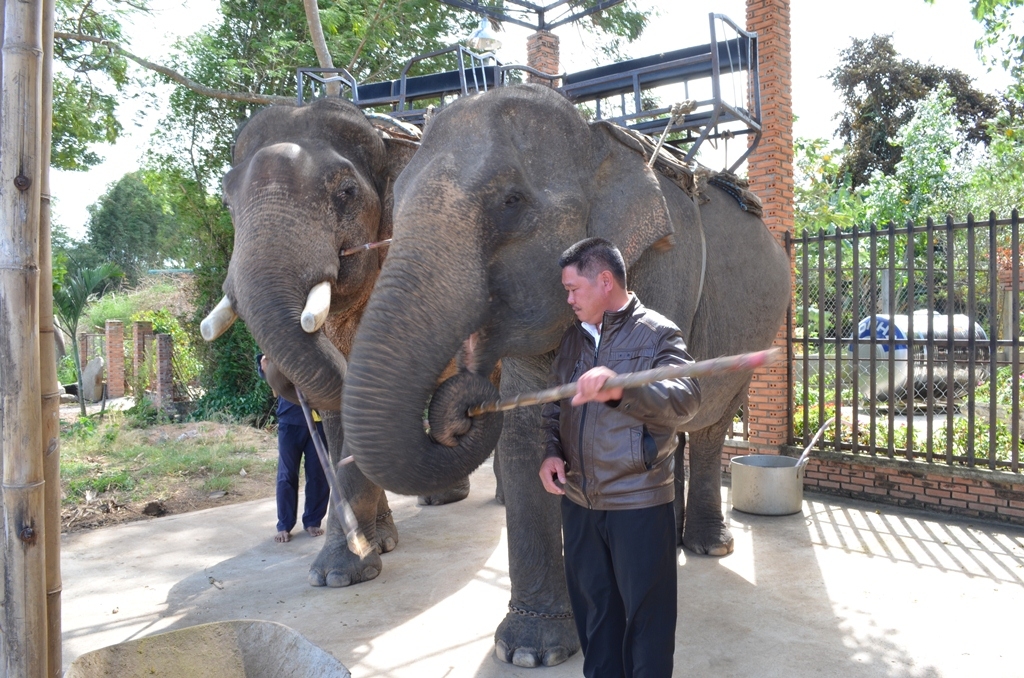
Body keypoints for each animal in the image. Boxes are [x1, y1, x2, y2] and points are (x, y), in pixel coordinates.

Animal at [200, 98, 471, 594]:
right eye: (227, 203)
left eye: (345, 191)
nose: (272, 369)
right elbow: (342, 411)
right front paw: (350, 564)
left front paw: (341, 574)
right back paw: (430, 505)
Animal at [335, 82, 790, 667]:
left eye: (511, 202)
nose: (464, 404)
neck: (594, 142)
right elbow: (528, 433)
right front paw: (530, 653)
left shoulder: (665, 266)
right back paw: (673, 540)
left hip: (759, 330)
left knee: (709, 423)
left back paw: (708, 546)